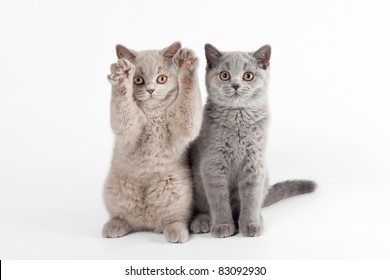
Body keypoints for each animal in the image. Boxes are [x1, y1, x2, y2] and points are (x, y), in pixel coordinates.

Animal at [102, 42, 203, 243]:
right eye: (138, 80)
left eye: (161, 79)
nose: (150, 90)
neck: (152, 113)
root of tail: (146, 221)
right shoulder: (129, 128)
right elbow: (123, 111)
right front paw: (121, 77)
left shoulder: (182, 125)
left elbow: (189, 106)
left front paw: (186, 65)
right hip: (115, 187)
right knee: (123, 216)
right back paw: (114, 225)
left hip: (176, 189)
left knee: (175, 218)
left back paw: (176, 230)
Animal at [190, 43, 316, 238]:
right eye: (224, 75)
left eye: (247, 76)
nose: (235, 85)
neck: (238, 118)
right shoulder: (213, 165)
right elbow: (218, 200)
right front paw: (223, 225)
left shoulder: (254, 164)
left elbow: (251, 199)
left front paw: (251, 223)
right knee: (203, 207)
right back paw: (202, 221)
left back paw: (256, 218)